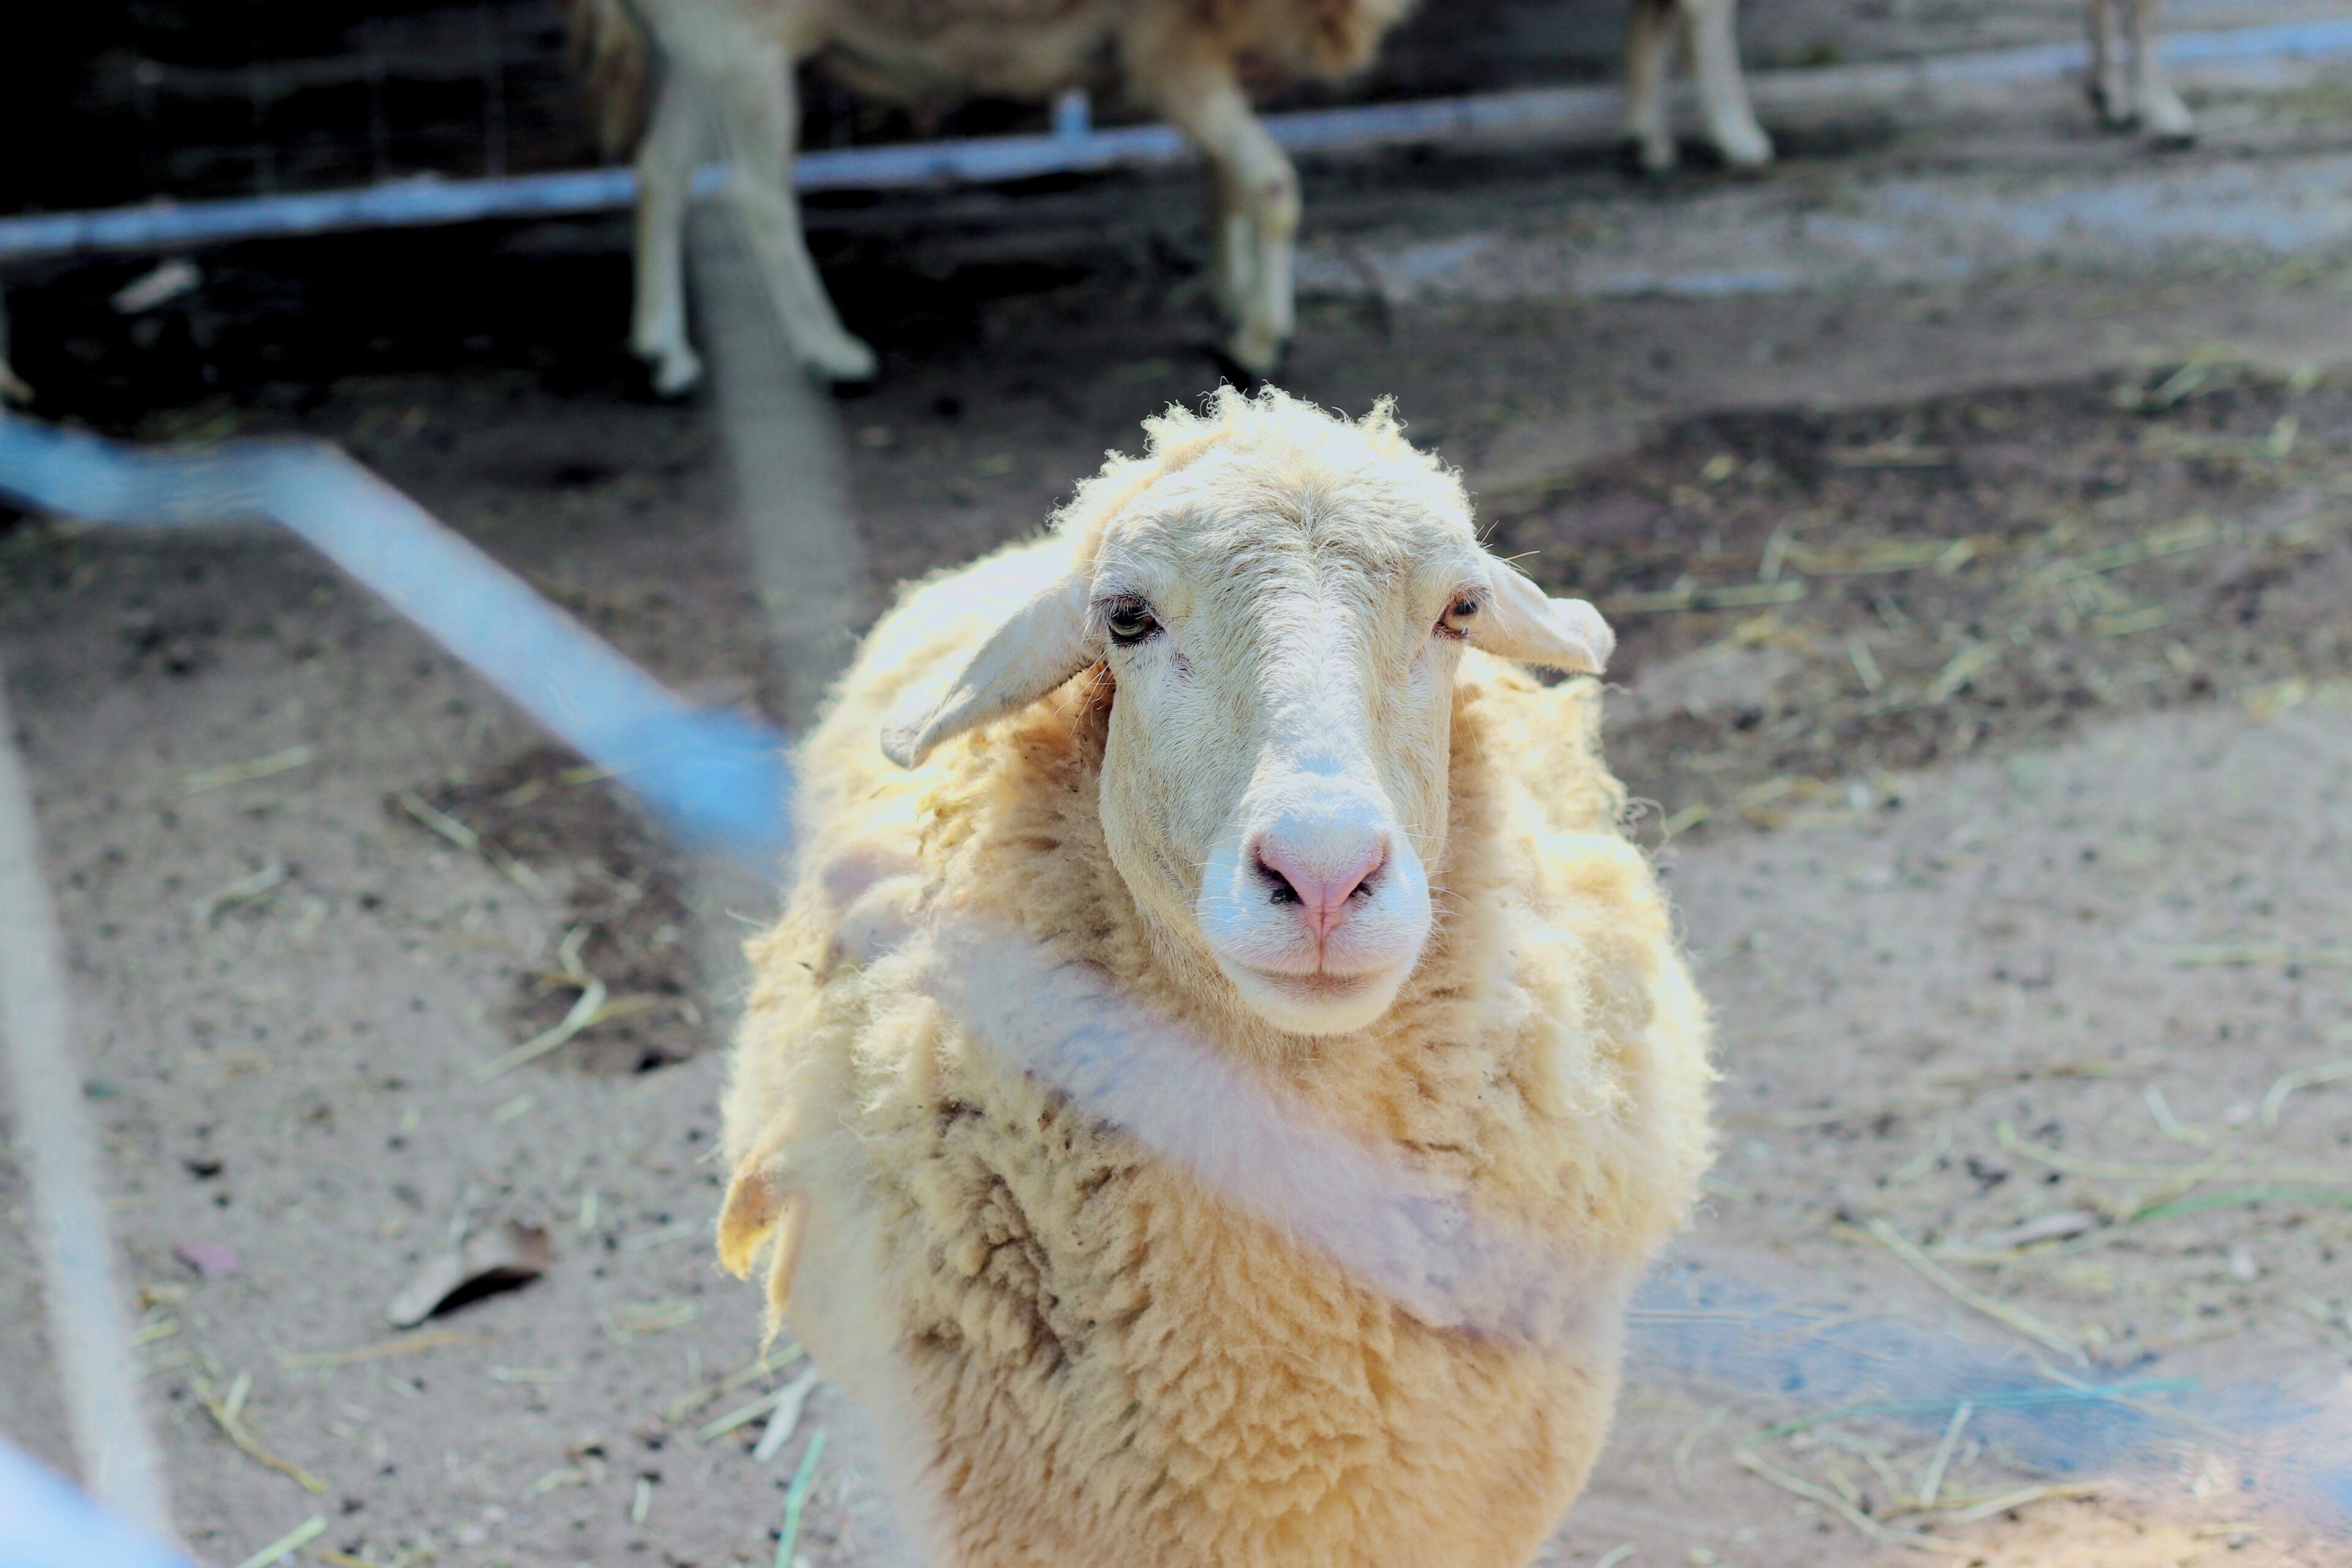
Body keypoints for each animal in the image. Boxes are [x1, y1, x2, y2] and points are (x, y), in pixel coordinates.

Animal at [568, 0, 1413, 393]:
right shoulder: (1167, 46)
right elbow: (1270, 185)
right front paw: (1260, 340)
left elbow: (1224, 182)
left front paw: (1233, 298)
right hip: (745, 47)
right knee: (756, 195)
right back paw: (833, 353)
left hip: (698, 54)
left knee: (660, 170)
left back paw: (666, 351)